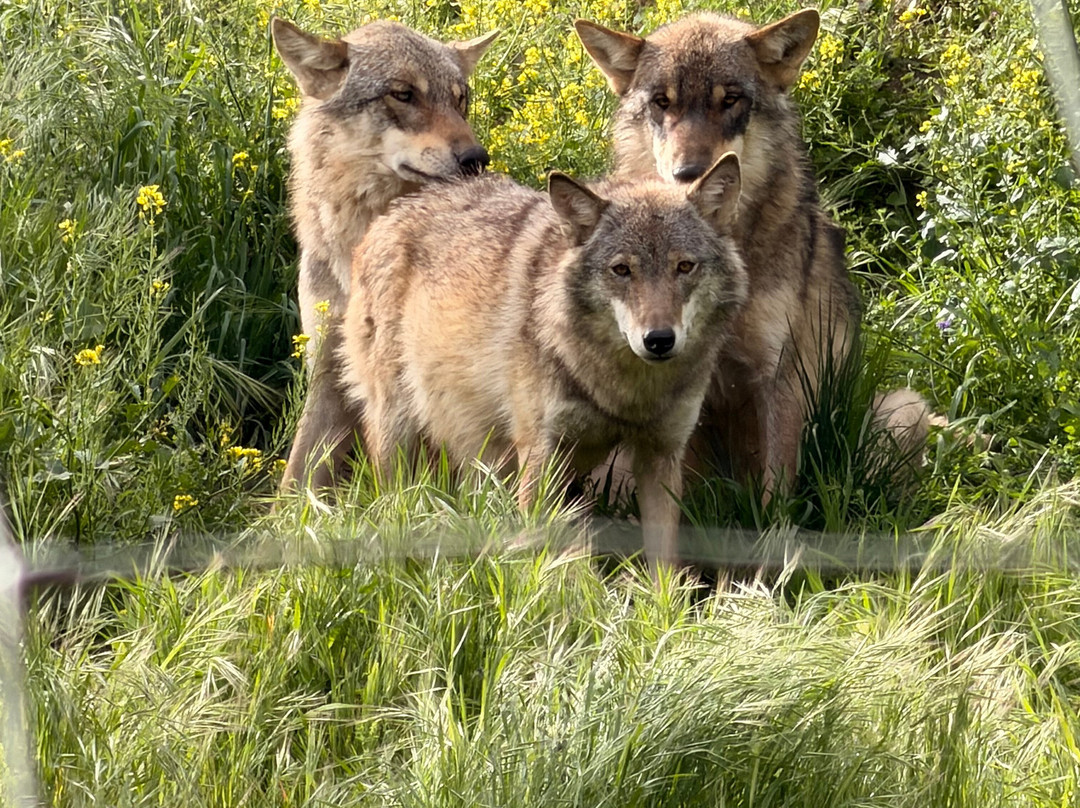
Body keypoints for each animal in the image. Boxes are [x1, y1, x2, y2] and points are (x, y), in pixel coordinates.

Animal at [271, 17, 498, 490]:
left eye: (460, 99)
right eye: (404, 94)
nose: (476, 158)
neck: (356, 246)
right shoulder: (327, 369)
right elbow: (296, 478)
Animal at [333, 156, 748, 567]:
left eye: (684, 267)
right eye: (622, 270)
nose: (659, 340)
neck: (625, 392)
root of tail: (388, 215)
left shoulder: (660, 455)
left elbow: (664, 565)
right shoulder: (539, 454)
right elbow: (540, 553)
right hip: (400, 435)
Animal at [575, 9, 928, 495]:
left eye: (730, 100)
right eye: (663, 102)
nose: (688, 173)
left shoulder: (779, 377)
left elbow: (775, 495)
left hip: (902, 408)